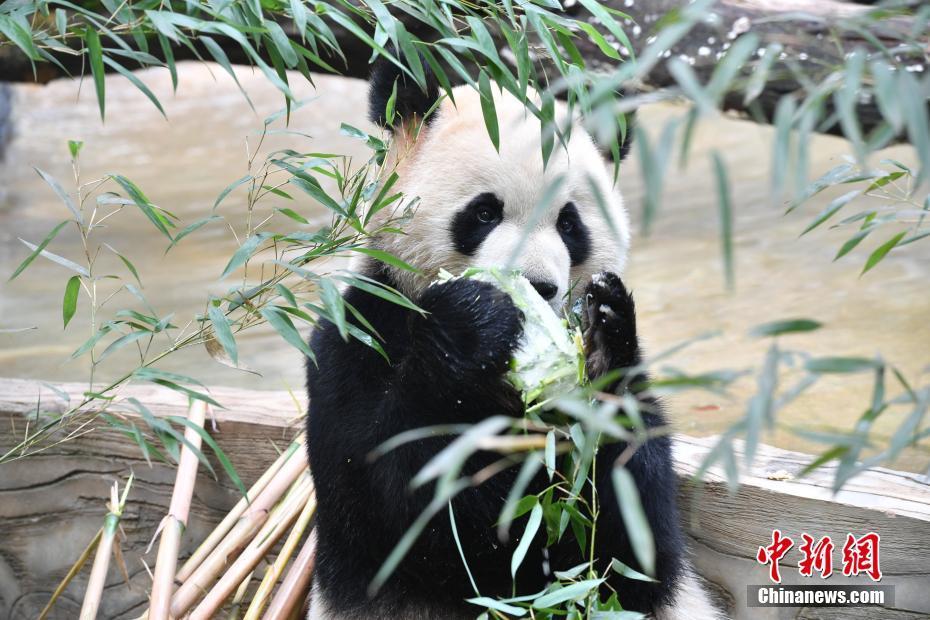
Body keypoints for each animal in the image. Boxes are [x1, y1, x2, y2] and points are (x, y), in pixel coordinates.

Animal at [304, 59, 716, 620]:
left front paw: (603, 334)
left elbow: (632, 544)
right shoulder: (359, 335)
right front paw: (473, 322)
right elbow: (407, 501)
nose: (538, 286)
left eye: (569, 223)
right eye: (484, 213)